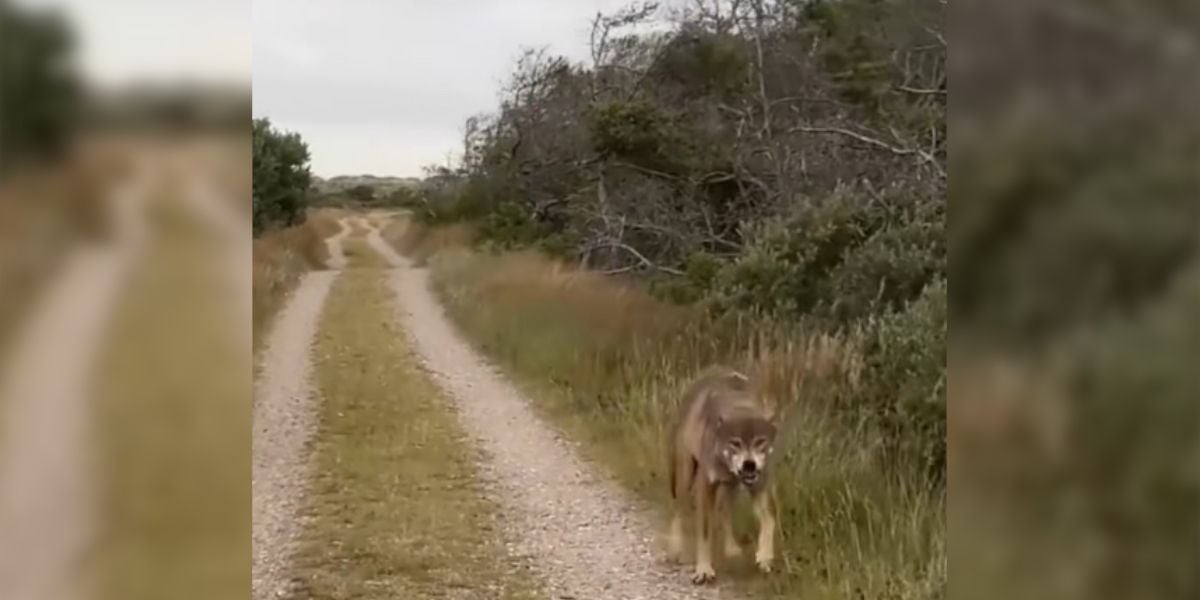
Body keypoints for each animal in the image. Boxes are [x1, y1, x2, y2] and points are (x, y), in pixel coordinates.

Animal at [667, 365, 778, 584]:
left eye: (760, 441)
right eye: (735, 443)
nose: (749, 464)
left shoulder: (759, 486)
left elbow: (769, 520)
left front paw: (764, 556)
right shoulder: (705, 488)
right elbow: (704, 532)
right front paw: (703, 570)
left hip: (730, 487)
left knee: (725, 513)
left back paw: (732, 549)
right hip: (686, 475)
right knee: (678, 509)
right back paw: (675, 548)